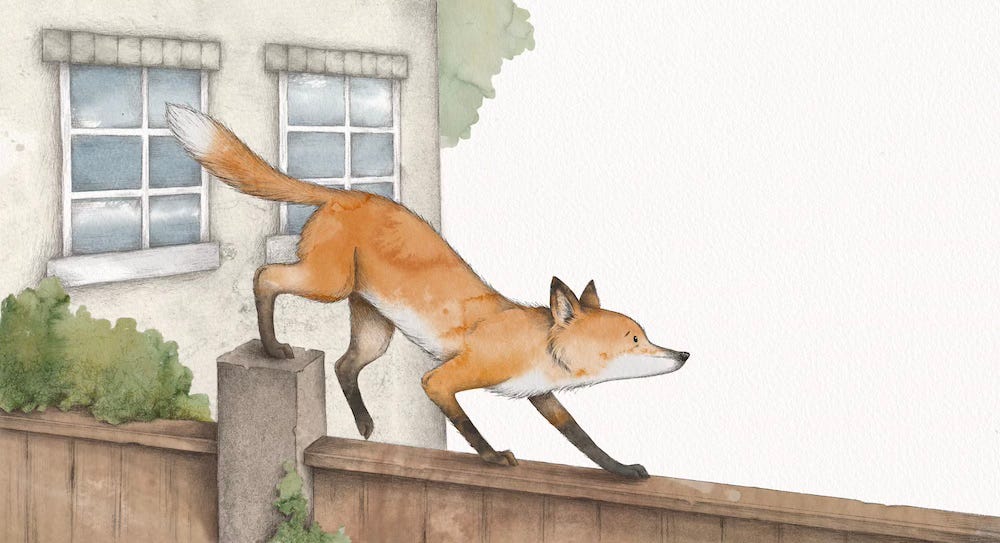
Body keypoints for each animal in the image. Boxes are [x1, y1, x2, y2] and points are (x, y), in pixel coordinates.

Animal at [166, 104, 690, 479]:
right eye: (635, 340)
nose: (683, 354)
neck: (538, 345)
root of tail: (343, 192)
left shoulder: (541, 395)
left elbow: (584, 440)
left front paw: (623, 471)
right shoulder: (446, 379)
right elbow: (467, 425)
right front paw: (492, 458)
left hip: (374, 330)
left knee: (344, 365)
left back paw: (363, 425)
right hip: (328, 286)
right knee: (264, 277)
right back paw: (273, 348)